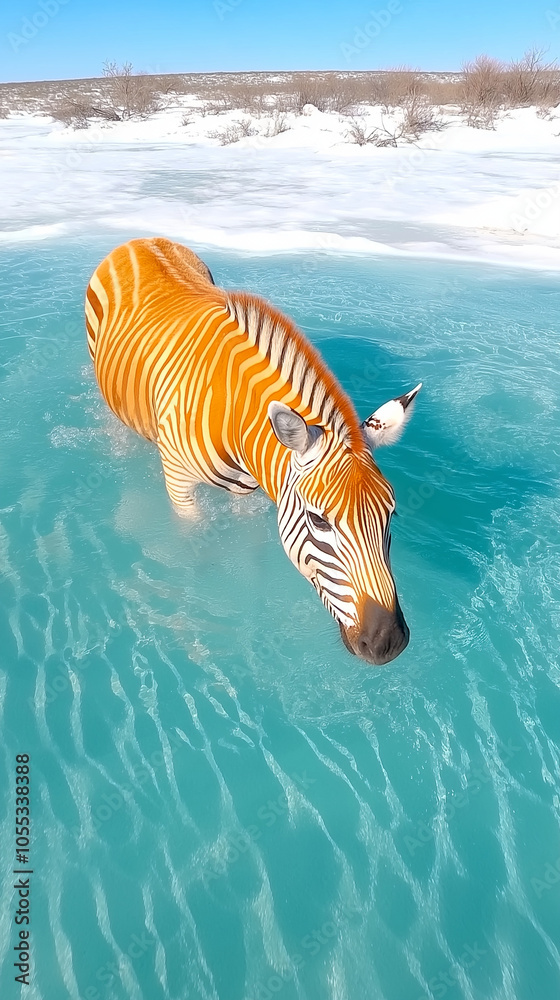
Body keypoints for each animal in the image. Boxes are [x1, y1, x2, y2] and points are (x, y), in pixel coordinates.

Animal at [85, 237, 421, 665]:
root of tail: (141, 240)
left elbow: (251, 548)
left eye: (390, 515)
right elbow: (193, 545)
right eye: (319, 521)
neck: (236, 421)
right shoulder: (179, 486)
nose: (387, 643)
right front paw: (193, 592)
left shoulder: (249, 492)